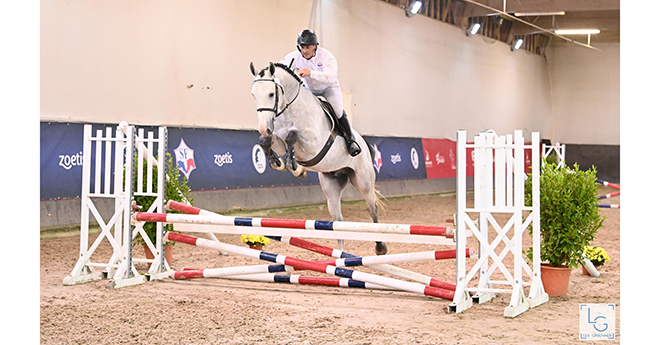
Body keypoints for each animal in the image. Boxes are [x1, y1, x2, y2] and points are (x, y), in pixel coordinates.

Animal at [251, 62, 386, 255]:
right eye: (253, 94)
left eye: (271, 93)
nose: (264, 127)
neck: (290, 111)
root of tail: (365, 145)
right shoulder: (278, 140)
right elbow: (266, 141)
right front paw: (282, 163)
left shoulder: (314, 145)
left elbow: (292, 136)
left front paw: (293, 165)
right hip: (332, 186)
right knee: (338, 221)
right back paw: (339, 257)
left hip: (363, 182)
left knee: (372, 208)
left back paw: (380, 247)